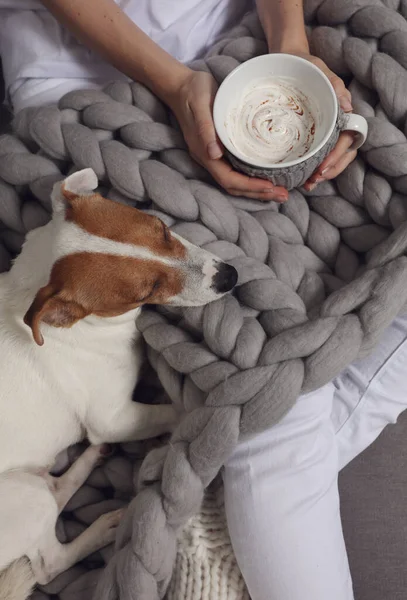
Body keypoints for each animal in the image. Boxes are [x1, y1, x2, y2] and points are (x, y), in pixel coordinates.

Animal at [0, 169, 237, 600]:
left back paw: (89, 465)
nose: (230, 276)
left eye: (163, 229)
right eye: (147, 291)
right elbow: (175, 411)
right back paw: (104, 528)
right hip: (23, 500)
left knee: (55, 490)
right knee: (47, 564)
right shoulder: (115, 419)